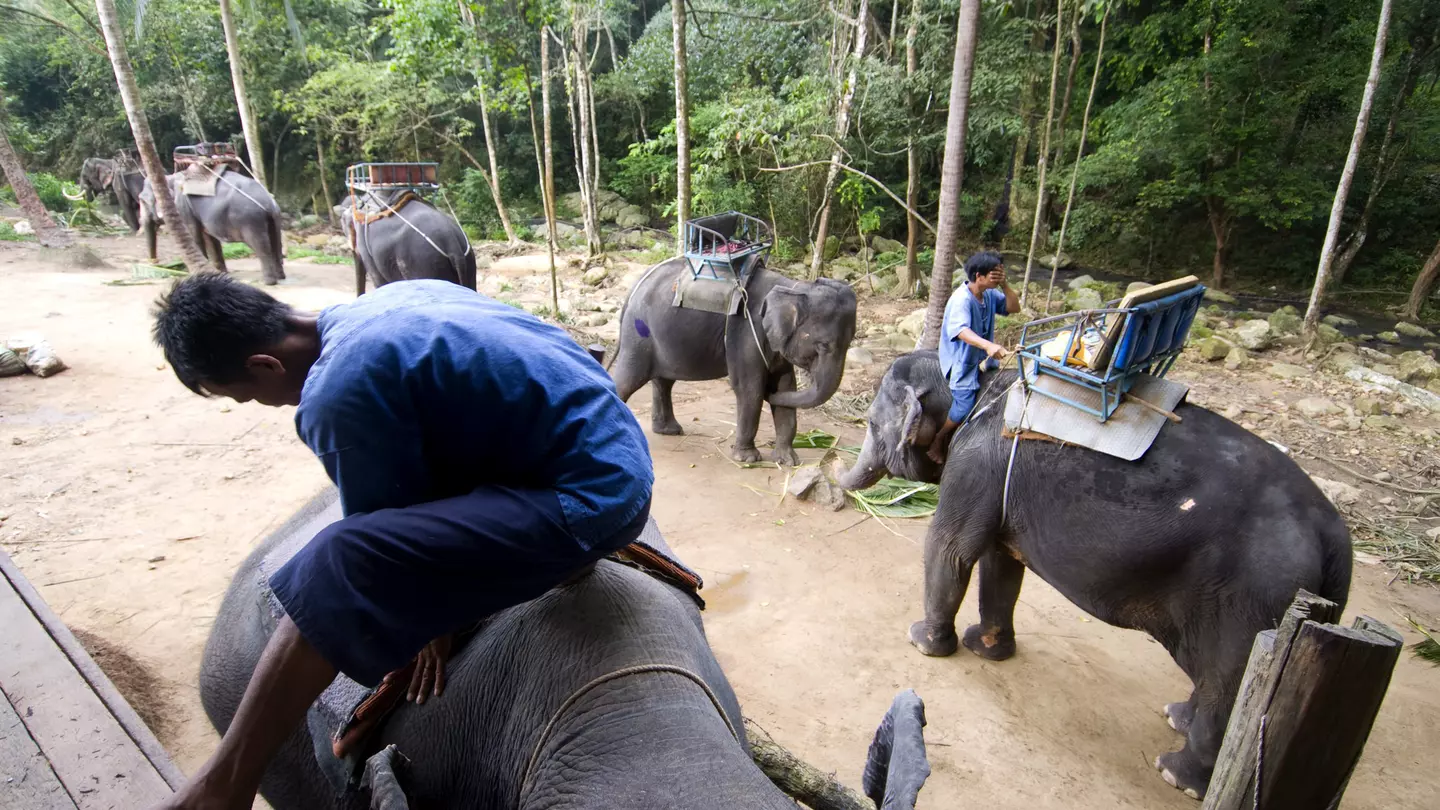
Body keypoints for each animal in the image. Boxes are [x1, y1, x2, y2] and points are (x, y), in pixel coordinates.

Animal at [140, 171, 286, 284]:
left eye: (144, 201)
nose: (154, 262)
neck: (171, 176)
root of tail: (268, 202)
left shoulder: (183, 208)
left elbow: (195, 236)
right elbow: (211, 240)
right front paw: (220, 274)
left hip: (250, 220)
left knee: (261, 246)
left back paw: (269, 282)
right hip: (275, 218)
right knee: (275, 242)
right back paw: (280, 277)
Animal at [609, 259, 858, 465]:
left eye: (851, 341)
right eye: (823, 345)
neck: (792, 287)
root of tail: (635, 286)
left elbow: (786, 386)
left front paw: (788, 461)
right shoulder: (745, 331)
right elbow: (749, 389)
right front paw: (747, 459)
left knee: (663, 381)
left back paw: (669, 430)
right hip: (638, 335)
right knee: (630, 379)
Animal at [837, 352, 1353, 800]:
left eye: (870, 424)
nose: (833, 471)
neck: (976, 382)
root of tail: (1334, 535)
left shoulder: (974, 464)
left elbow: (951, 549)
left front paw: (923, 643)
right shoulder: (999, 483)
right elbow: (1002, 562)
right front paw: (987, 650)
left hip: (1253, 599)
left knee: (1230, 678)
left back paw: (1177, 774)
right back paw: (1177, 719)